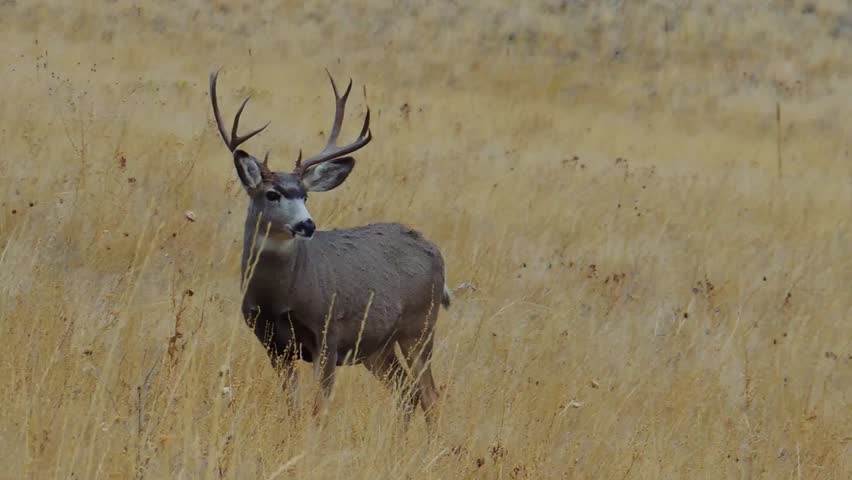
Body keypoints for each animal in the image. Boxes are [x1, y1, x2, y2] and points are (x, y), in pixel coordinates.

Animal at [209, 68, 450, 426]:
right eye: (272, 194)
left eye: (305, 195)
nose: (307, 225)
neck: (278, 298)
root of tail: (434, 249)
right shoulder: (272, 343)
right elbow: (293, 405)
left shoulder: (328, 333)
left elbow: (318, 407)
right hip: (377, 346)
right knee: (407, 393)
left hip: (418, 326)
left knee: (430, 395)